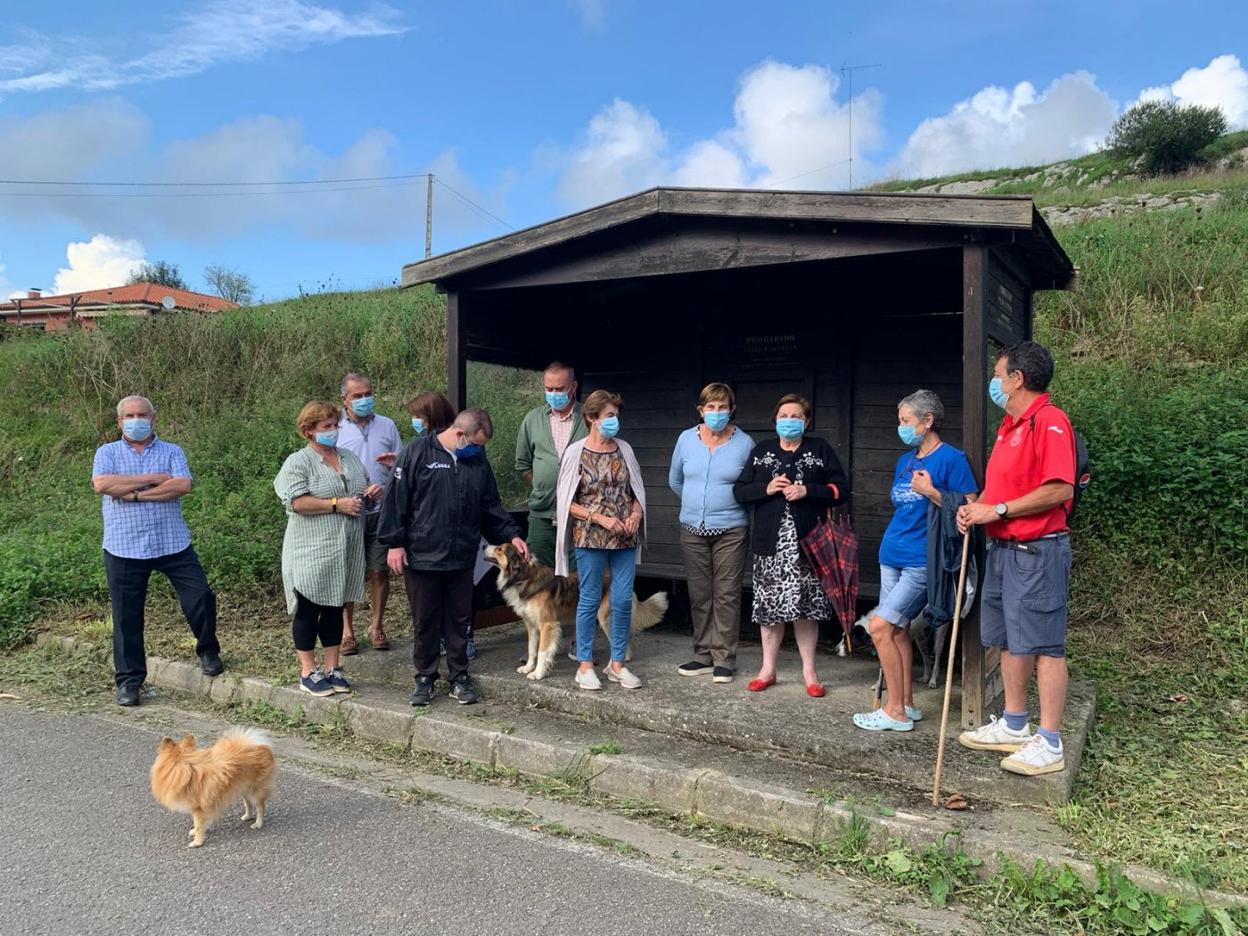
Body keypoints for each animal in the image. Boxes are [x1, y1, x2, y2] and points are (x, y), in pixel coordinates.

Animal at [149, 723, 277, 848]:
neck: (188, 769)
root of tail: (259, 745)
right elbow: (201, 823)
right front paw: (196, 831)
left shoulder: (198, 808)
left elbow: (199, 825)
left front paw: (197, 842)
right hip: (244, 789)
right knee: (248, 804)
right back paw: (247, 816)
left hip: (254, 791)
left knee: (260, 807)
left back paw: (258, 824)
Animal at [481, 541, 668, 683]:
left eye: (499, 549)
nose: (484, 545)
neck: (524, 578)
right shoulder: (532, 626)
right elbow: (532, 649)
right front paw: (528, 667)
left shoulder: (547, 625)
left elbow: (542, 652)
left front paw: (538, 673)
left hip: (605, 618)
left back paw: (611, 667)